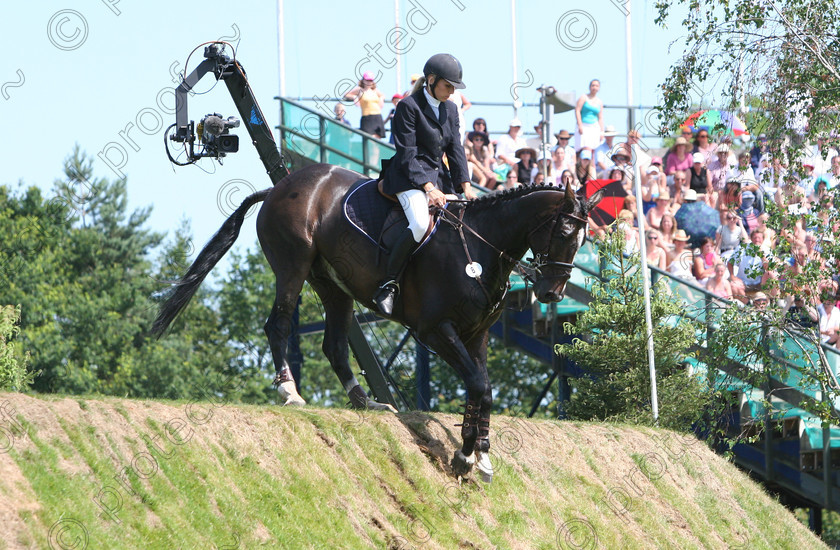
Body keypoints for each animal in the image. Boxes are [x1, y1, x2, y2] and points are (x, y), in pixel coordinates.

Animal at [153, 163, 604, 478]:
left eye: (584, 238)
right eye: (565, 231)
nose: (552, 294)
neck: (477, 247)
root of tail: (280, 186)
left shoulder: (477, 335)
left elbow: (484, 388)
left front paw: (481, 454)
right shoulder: (434, 331)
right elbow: (479, 385)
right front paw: (464, 455)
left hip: (333, 285)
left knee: (334, 345)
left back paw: (365, 400)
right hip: (292, 265)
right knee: (278, 325)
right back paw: (289, 391)